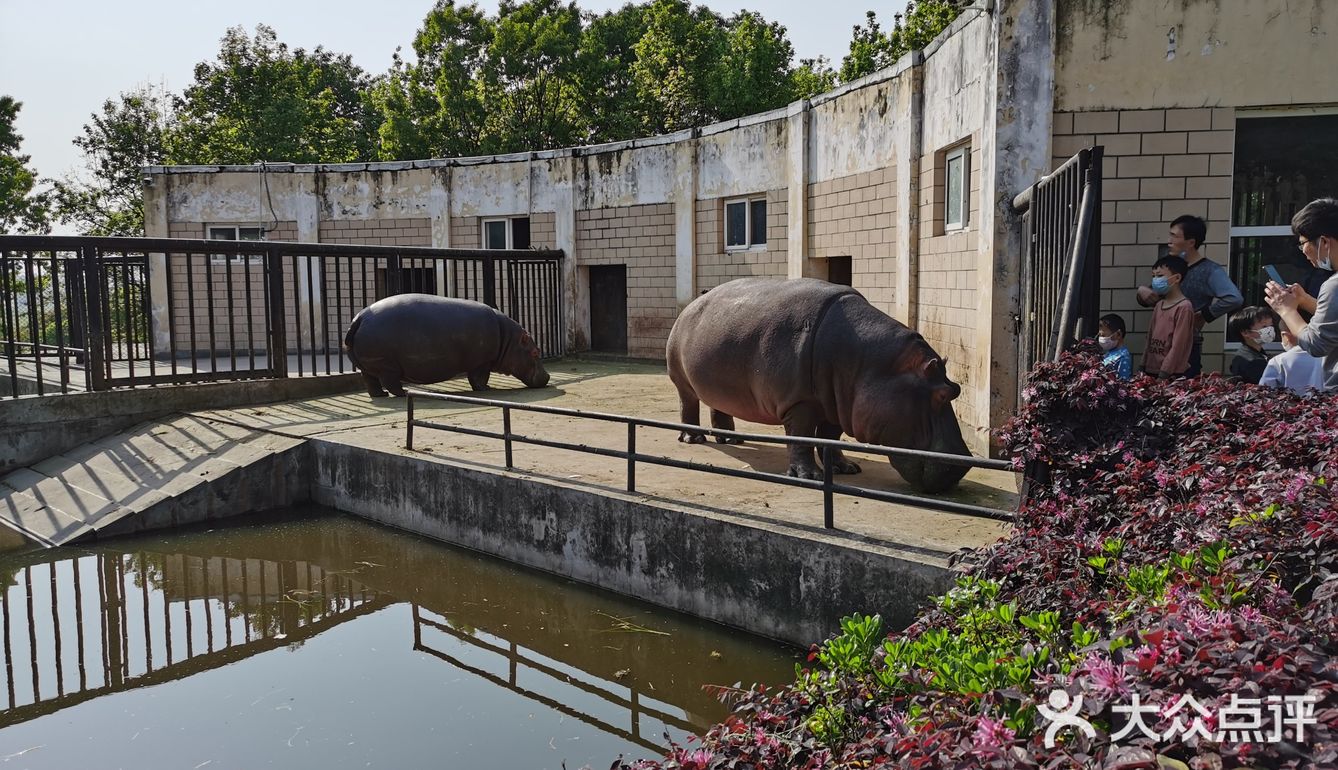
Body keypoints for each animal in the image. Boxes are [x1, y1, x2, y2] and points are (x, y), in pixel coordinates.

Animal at [350, 293, 553, 396]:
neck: (508, 340)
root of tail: (360, 318)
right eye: (535, 352)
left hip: (369, 367)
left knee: (371, 382)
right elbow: (479, 379)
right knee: (390, 382)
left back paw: (381, 395)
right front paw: (488, 389)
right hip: (387, 365)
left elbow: (475, 378)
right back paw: (403, 392)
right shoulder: (482, 362)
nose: (548, 376)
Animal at [666, 277, 974, 492]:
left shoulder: (838, 404)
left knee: (718, 406)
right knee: (688, 404)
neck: (871, 363)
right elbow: (801, 436)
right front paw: (810, 476)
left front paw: (846, 468)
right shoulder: (800, 402)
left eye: (956, 389)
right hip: (682, 382)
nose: (961, 467)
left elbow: (830, 437)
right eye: (941, 395)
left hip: (718, 383)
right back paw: (694, 439)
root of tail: (689, 306)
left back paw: (732, 439)